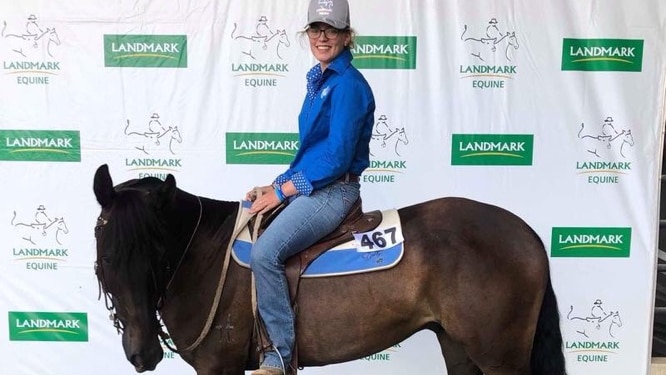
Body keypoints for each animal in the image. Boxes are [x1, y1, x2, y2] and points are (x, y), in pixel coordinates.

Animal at [91, 165, 564, 375]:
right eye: (108, 258)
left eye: (155, 252)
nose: (144, 353)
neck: (204, 254)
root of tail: (526, 232)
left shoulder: (218, 367)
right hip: (458, 345)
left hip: (499, 356)